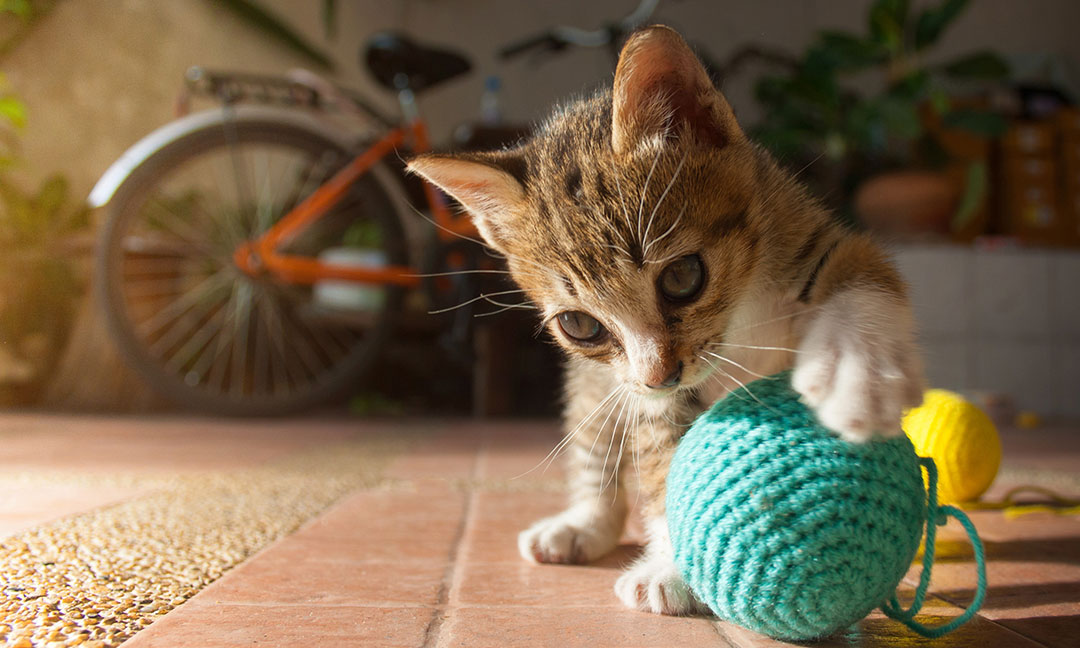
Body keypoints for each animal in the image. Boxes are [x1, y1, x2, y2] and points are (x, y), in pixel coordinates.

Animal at [408, 24, 924, 613]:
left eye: (682, 276)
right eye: (579, 325)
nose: (660, 376)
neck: (739, 316)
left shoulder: (813, 236)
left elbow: (861, 277)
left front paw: (856, 377)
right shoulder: (646, 393)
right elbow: (663, 459)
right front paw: (677, 566)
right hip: (600, 387)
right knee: (595, 441)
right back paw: (579, 525)